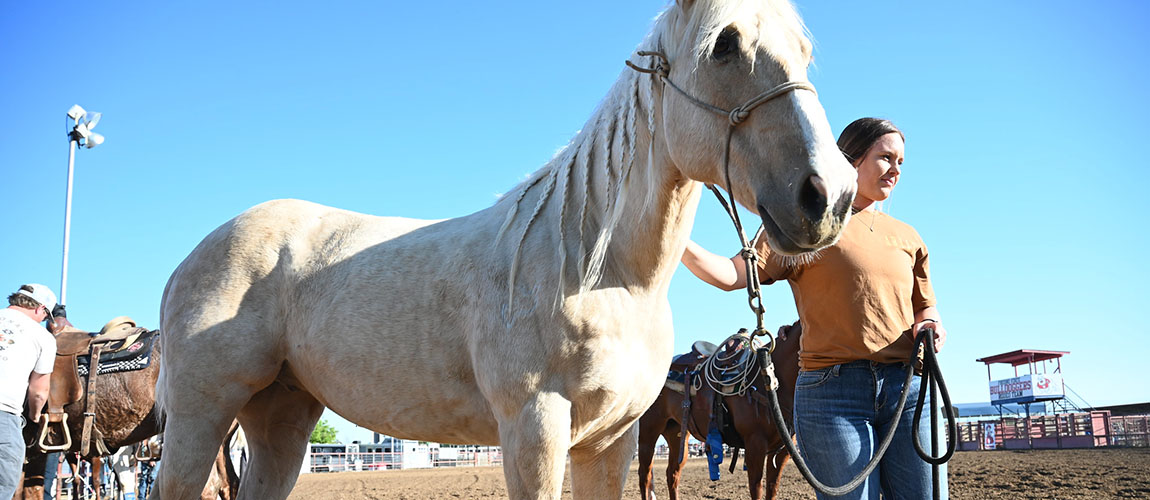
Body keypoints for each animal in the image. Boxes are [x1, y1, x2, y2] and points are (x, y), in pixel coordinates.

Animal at [637, 321, 802, 500]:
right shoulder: (755, 445)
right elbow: (756, 488)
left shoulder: (782, 452)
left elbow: (772, 488)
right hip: (648, 434)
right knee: (645, 476)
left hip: (676, 434)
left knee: (672, 474)